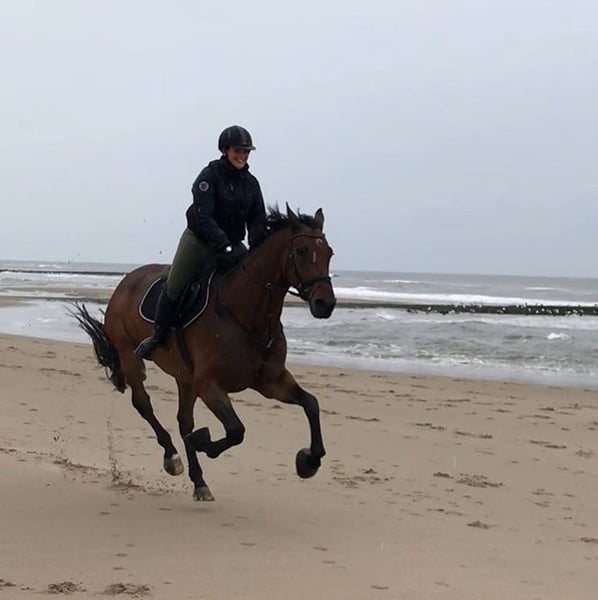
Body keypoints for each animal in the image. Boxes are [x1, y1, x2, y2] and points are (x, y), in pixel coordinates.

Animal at [73, 205, 336, 501]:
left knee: (184, 421)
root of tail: (125, 281)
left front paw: (309, 461)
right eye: (301, 250)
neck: (247, 316)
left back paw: (199, 481)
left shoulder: (271, 382)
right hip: (130, 356)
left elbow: (311, 404)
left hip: (184, 376)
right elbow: (236, 430)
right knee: (143, 404)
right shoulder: (210, 384)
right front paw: (203, 442)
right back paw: (172, 457)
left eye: (329, 253)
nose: (325, 303)